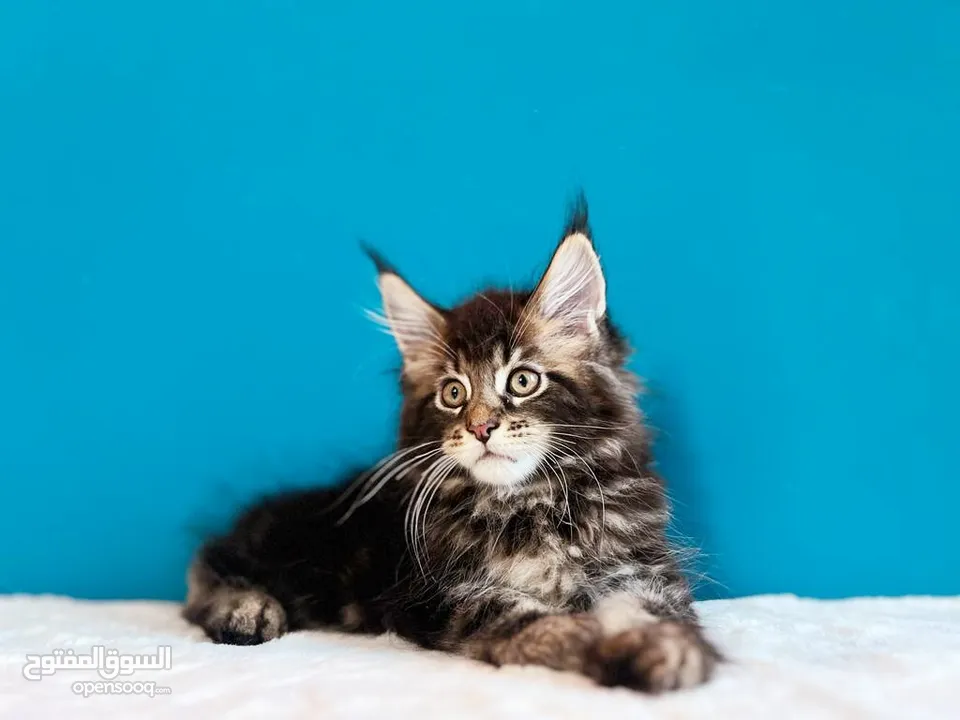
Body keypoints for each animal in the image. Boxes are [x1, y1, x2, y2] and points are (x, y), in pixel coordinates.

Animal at [182, 197, 720, 692]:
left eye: (523, 380)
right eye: (454, 393)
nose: (481, 428)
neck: (529, 503)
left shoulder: (638, 569)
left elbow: (651, 612)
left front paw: (669, 650)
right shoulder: (446, 597)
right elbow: (533, 622)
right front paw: (591, 641)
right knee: (205, 566)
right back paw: (245, 609)